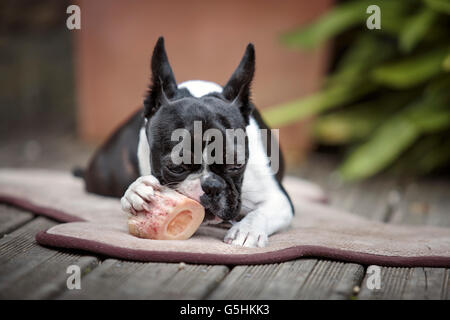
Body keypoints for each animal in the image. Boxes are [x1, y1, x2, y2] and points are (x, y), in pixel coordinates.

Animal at [81, 37, 294, 248]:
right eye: (176, 168)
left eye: (236, 165)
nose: (212, 186)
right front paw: (136, 191)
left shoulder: (280, 199)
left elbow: (261, 212)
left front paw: (247, 229)